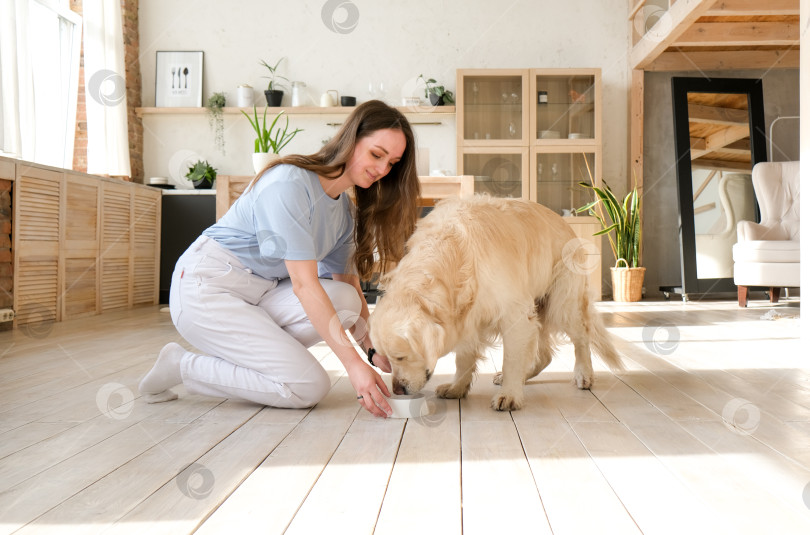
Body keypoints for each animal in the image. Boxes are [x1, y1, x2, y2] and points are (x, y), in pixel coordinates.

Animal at [370, 196, 620, 410]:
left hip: (562, 301)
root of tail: (564, 222)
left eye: (400, 357)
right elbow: (464, 358)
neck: (456, 256)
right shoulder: (466, 317)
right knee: (545, 355)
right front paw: (457, 388)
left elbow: (511, 359)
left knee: (581, 338)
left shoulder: (514, 313)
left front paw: (509, 395)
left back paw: (583, 374)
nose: (398, 390)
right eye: (386, 358)